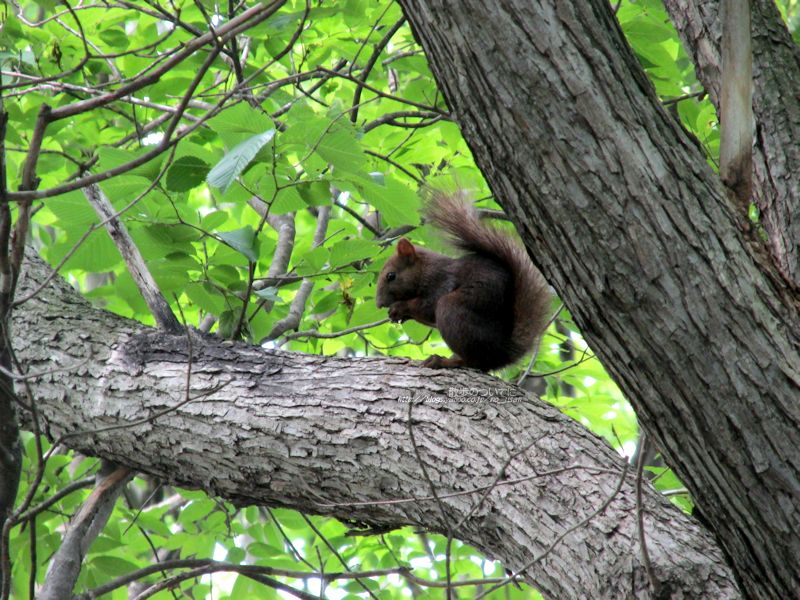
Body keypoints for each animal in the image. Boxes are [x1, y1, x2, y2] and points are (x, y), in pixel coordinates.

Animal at [376, 192, 552, 370]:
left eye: (391, 276)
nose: (379, 304)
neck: (425, 270)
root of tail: (502, 353)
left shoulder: (441, 281)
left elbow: (428, 307)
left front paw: (400, 307)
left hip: (452, 311)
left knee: (473, 361)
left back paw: (443, 361)